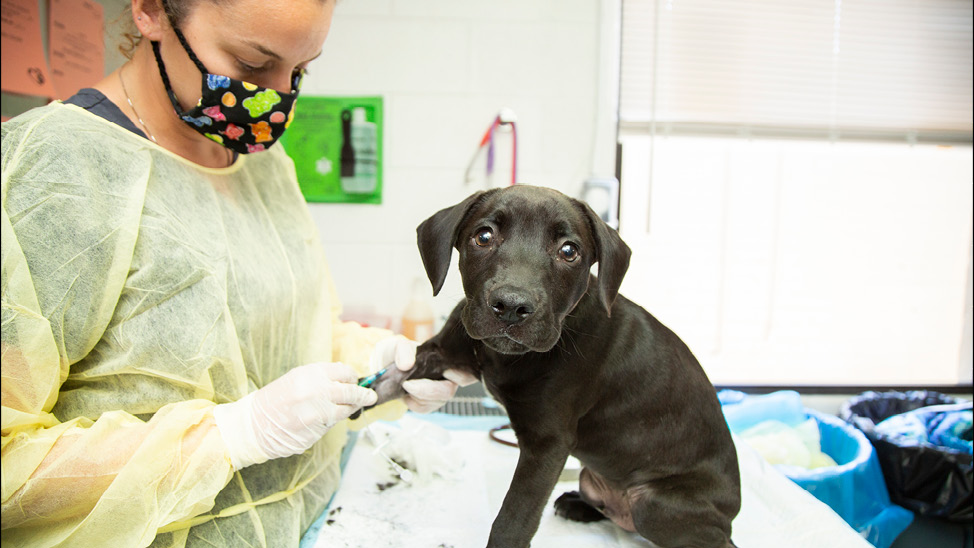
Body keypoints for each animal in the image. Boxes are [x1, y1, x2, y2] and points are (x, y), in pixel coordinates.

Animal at [370, 185, 744, 548]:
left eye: (569, 251)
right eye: (484, 236)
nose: (511, 306)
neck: (510, 356)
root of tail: (730, 513)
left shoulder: (547, 444)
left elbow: (513, 520)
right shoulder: (436, 354)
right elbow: (383, 383)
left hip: (654, 504)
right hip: (593, 478)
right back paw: (579, 504)